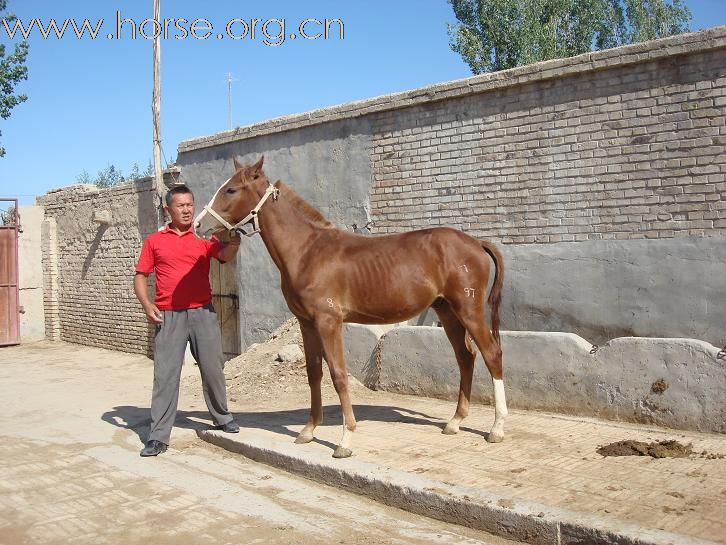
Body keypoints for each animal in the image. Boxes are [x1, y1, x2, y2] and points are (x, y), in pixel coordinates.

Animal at [196, 158, 510, 460]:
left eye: (231, 189)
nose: (199, 225)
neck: (308, 252)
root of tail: (476, 243)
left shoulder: (328, 322)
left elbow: (338, 374)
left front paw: (345, 441)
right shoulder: (306, 323)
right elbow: (314, 373)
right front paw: (308, 431)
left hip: (467, 309)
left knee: (491, 353)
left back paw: (497, 428)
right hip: (447, 311)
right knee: (465, 357)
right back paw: (455, 422)